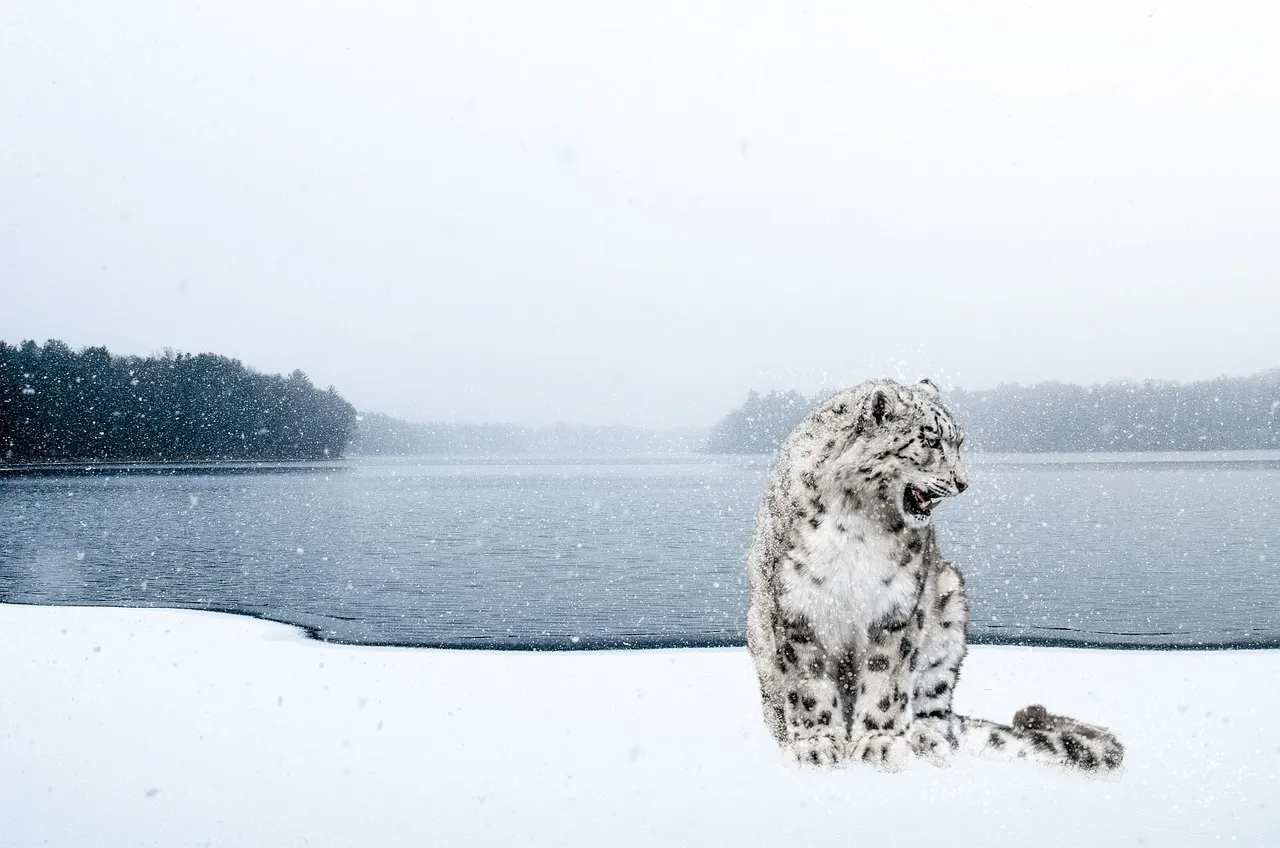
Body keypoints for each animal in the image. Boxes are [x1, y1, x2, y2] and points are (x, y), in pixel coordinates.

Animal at [745, 377, 1124, 772]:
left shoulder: (897, 605)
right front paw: (816, 746)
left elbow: (887, 680)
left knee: (936, 705)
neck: (857, 524)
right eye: (931, 440)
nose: (962, 483)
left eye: (959, 442)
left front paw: (879, 744)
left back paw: (925, 738)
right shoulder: (796, 606)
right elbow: (808, 685)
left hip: (949, 609)